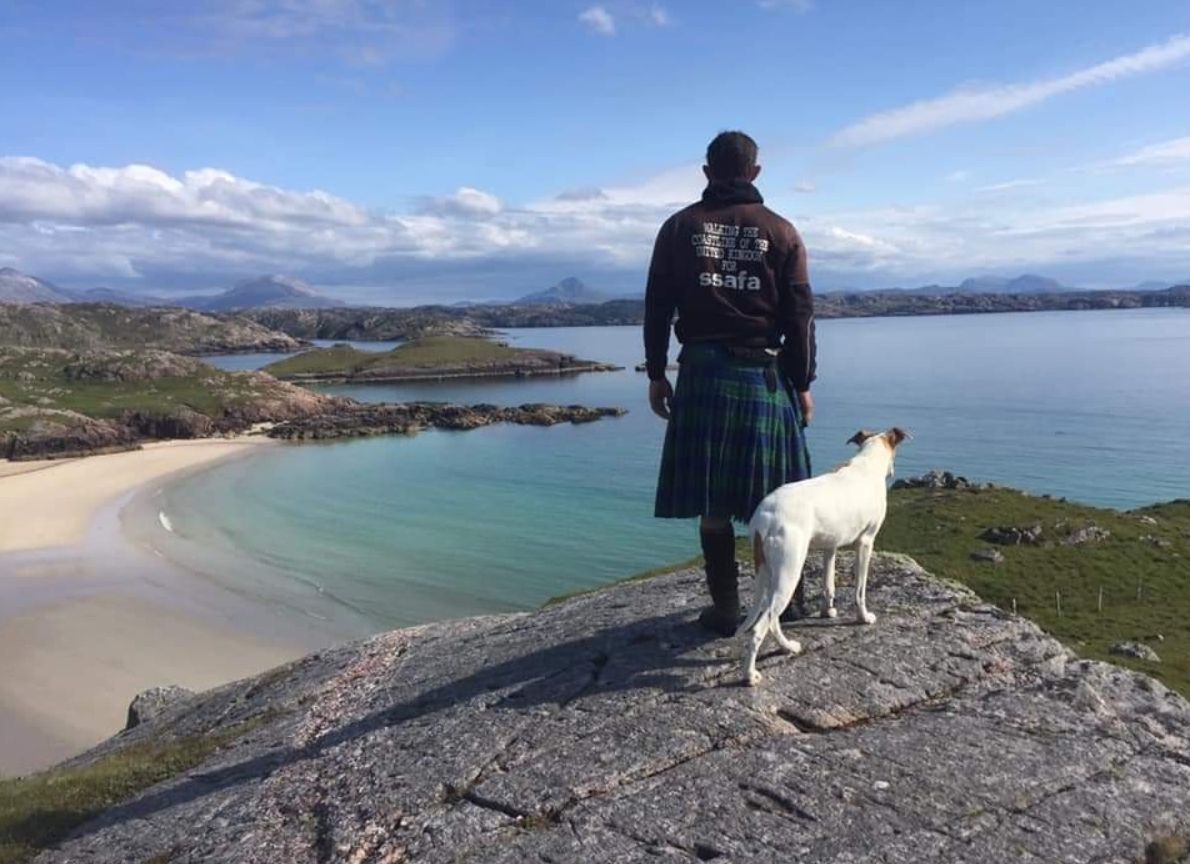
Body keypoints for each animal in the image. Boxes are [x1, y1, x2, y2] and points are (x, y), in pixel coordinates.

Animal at [737, 430, 904, 685]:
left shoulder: (830, 547)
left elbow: (828, 584)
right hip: (789, 572)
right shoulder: (866, 543)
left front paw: (827, 611)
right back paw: (750, 675)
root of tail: (764, 517)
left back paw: (787, 647)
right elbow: (860, 590)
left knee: (772, 619)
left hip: (769, 572)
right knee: (761, 626)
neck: (866, 464)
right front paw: (863, 617)